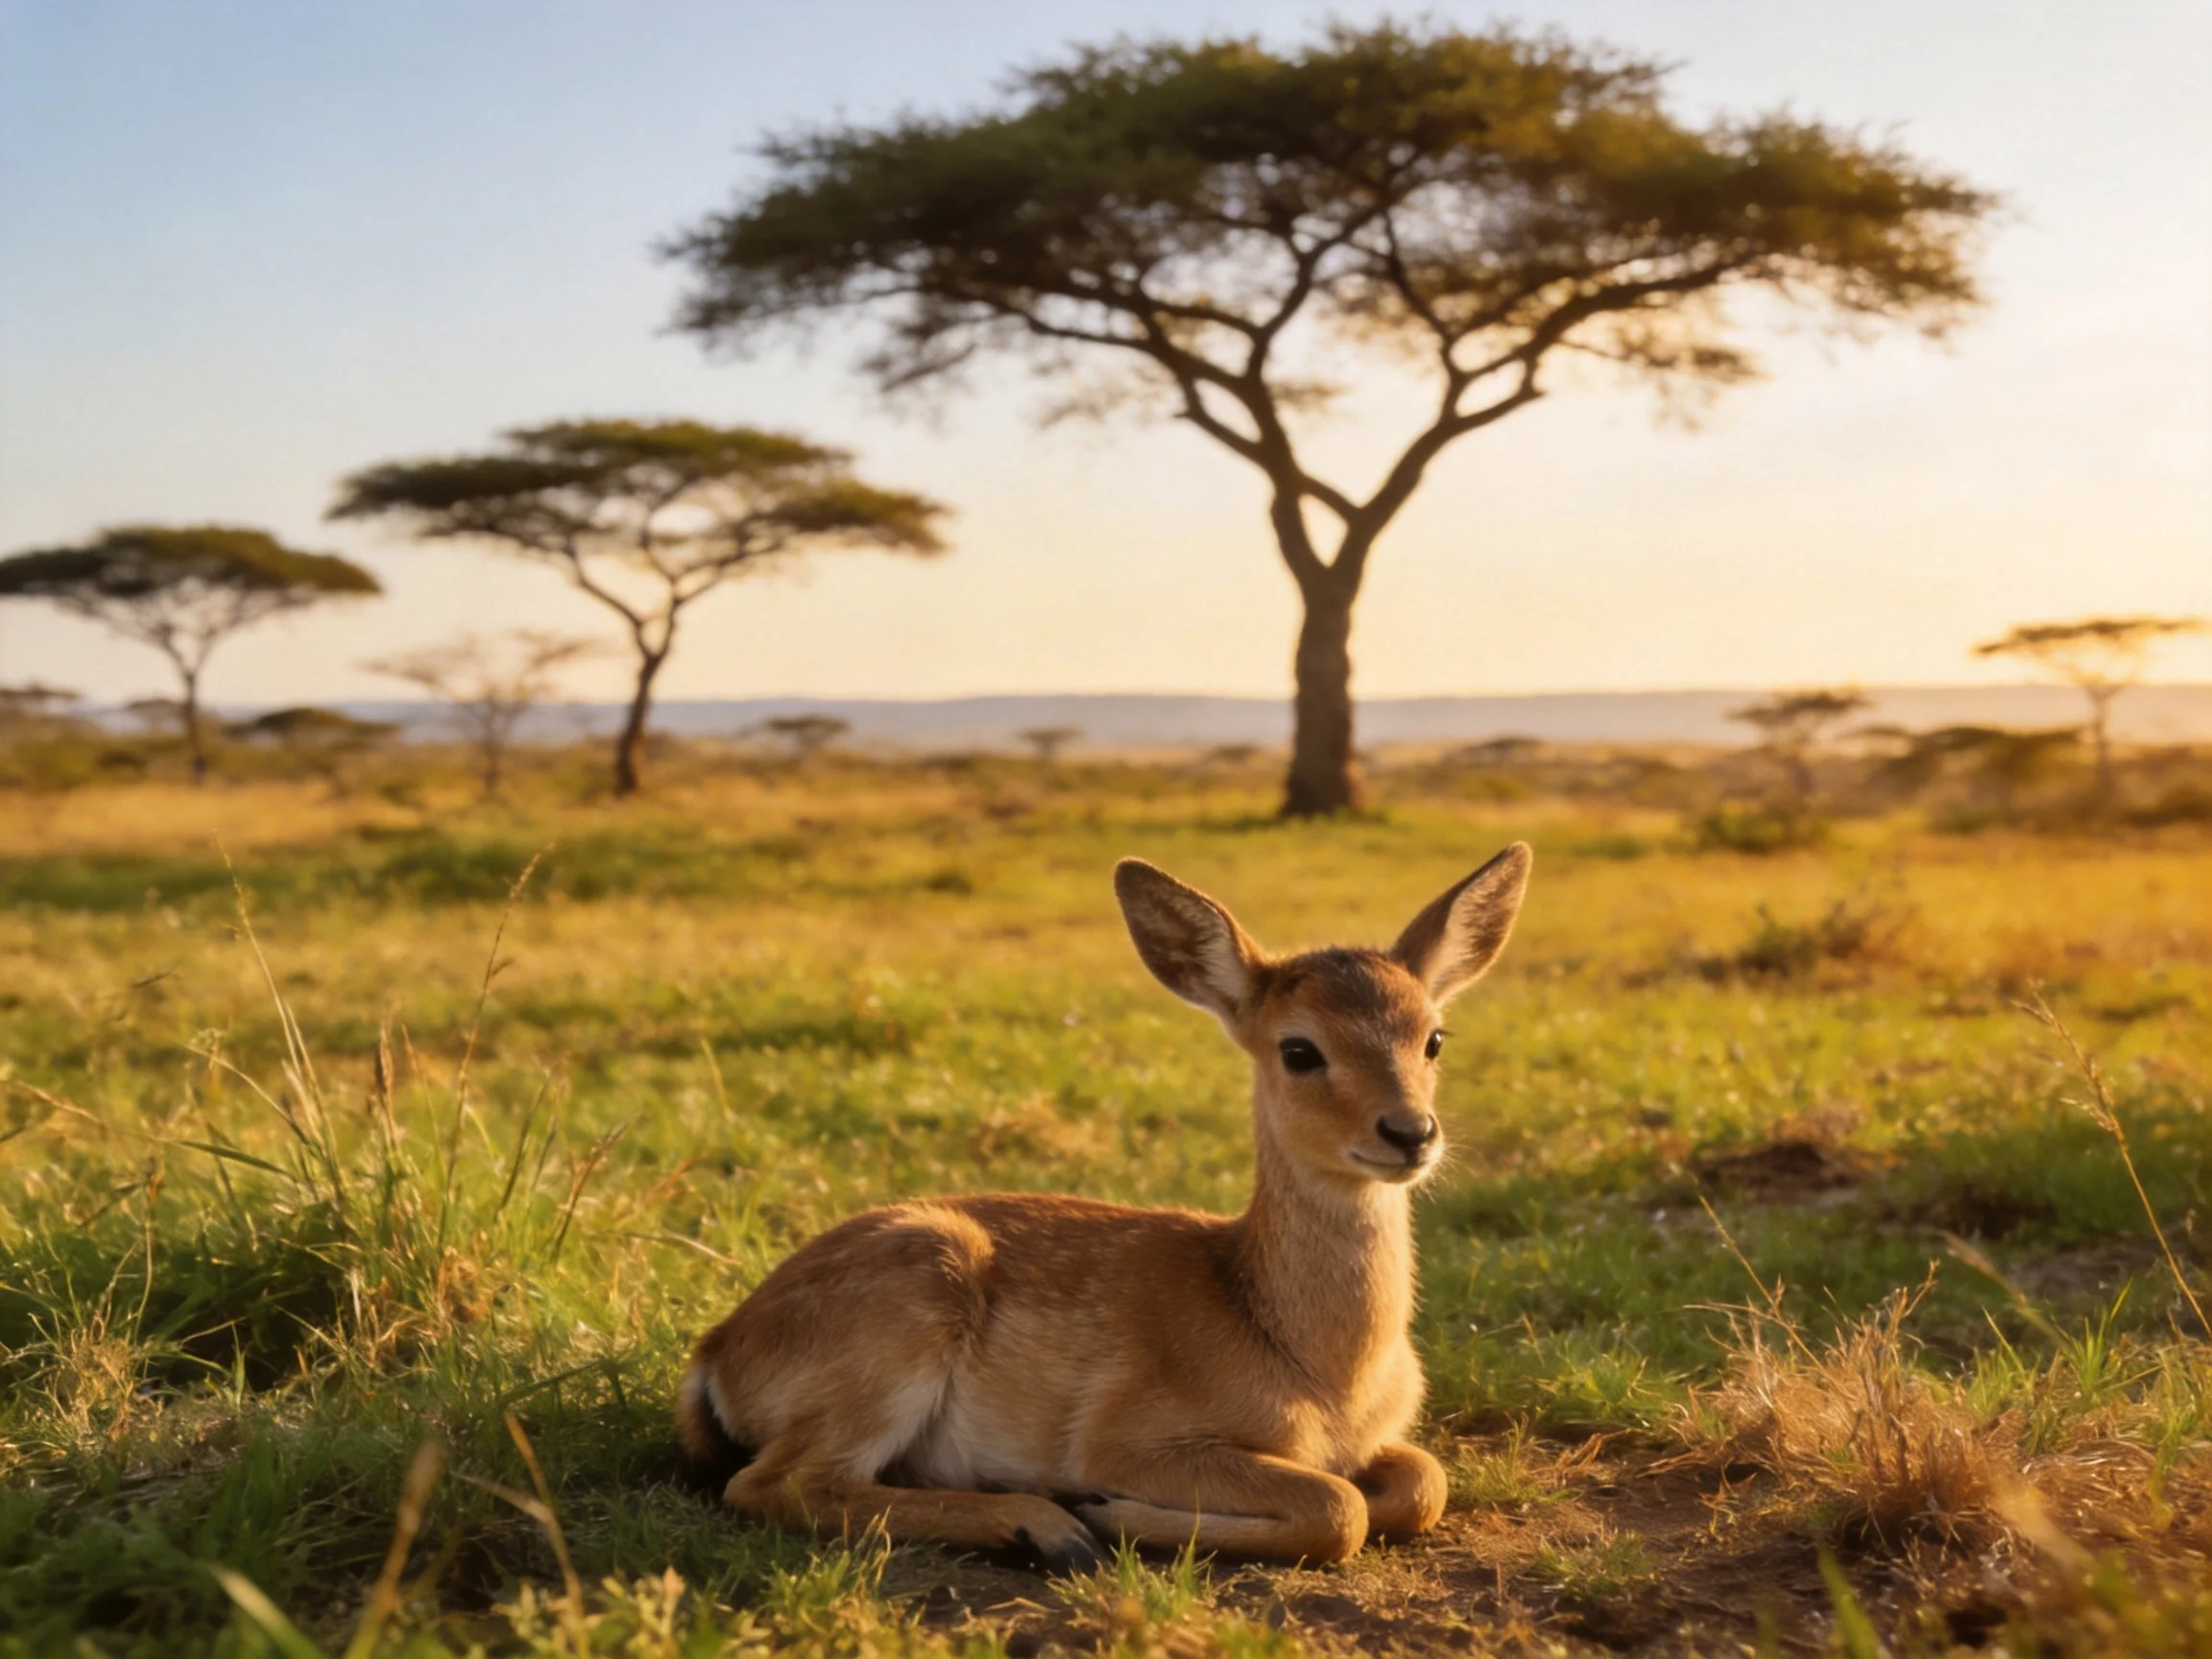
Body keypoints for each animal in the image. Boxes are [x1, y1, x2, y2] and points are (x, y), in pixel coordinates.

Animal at [676, 843, 1533, 1568]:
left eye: (1433, 1037)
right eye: (1298, 1048)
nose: (1410, 1133)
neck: (1322, 1372)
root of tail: (716, 1353)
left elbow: (1423, 1481)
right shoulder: (1131, 1436)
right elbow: (1337, 1505)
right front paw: (1108, 1509)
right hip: (903, 1309)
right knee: (775, 1484)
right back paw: (1051, 1524)